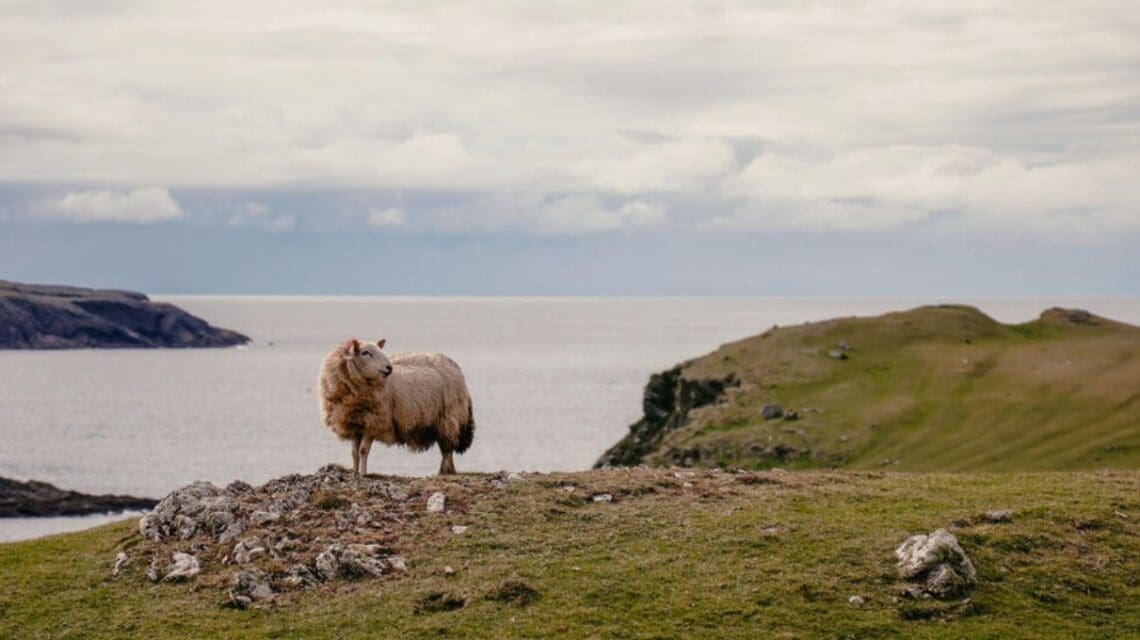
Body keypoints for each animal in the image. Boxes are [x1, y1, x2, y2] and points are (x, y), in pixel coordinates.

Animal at [318, 337, 475, 475]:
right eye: (365, 352)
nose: (389, 367)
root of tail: (453, 364)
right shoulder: (354, 423)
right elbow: (354, 452)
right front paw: (355, 472)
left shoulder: (374, 422)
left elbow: (363, 450)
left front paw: (363, 473)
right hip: (437, 422)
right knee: (445, 447)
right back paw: (449, 471)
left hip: (449, 416)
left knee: (447, 448)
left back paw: (444, 470)